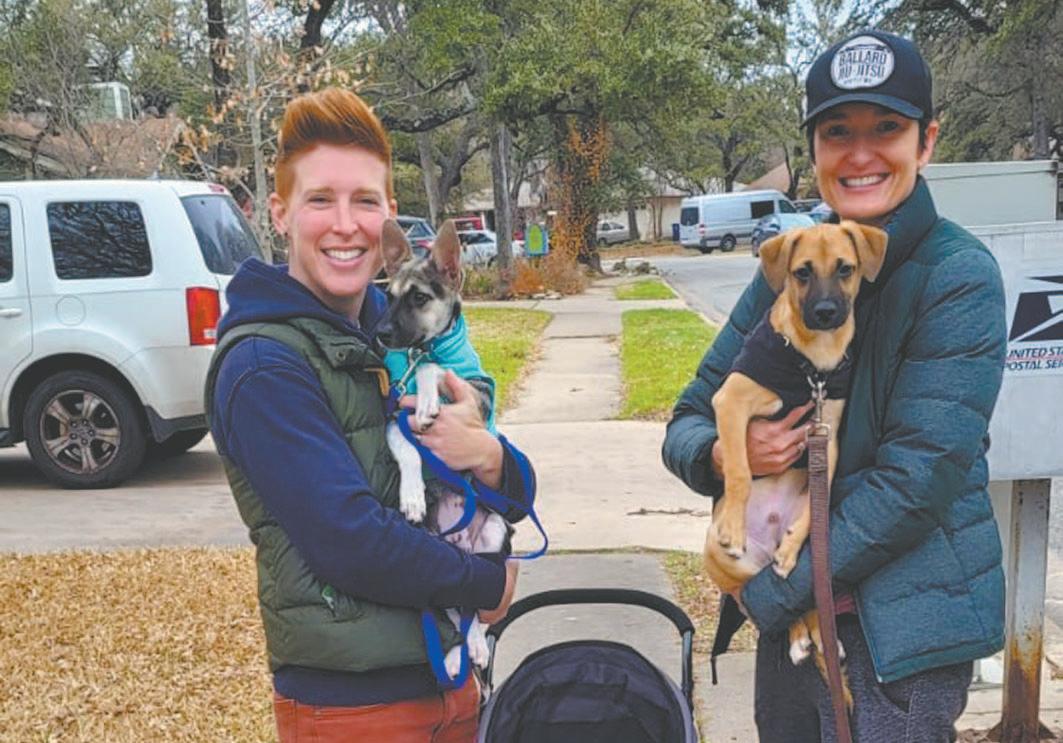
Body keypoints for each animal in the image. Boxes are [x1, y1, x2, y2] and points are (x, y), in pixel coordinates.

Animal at [379, 218, 511, 679]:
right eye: (387, 296)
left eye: (419, 297)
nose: (381, 335)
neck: (418, 351)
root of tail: (462, 547)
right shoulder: (393, 414)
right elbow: (408, 450)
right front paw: (413, 496)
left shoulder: (479, 392)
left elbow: (435, 369)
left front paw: (429, 394)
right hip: (437, 557)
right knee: (455, 610)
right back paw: (458, 655)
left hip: (493, 537)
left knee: (474, 610)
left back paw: (476, 647)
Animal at [704, 221, 887, 705]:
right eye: (802, 273)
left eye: (845, 269)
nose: (825, 312)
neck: (812, 366)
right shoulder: (730, 402)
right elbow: (739, 469)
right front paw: (733, 522)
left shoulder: (828, 437)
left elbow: (814, 511)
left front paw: (793, 547)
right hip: (728, 565)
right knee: (770, 605)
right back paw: (801, 635)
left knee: (800, 599)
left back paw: (813, 634)